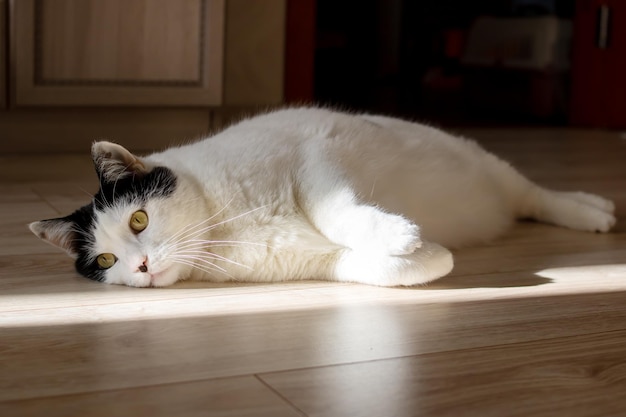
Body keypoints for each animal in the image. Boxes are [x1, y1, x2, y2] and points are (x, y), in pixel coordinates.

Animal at [29, 107, 616, 286]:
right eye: (106, 261)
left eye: (139, 220)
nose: (142, 266)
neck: (221, 228)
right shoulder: (312, 263)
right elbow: (379, 269)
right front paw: (427, 254)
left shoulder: (316, 160)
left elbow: (336, 210)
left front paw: (397, 232)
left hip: (490, 164)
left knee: (539, 195)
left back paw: (596, 209)